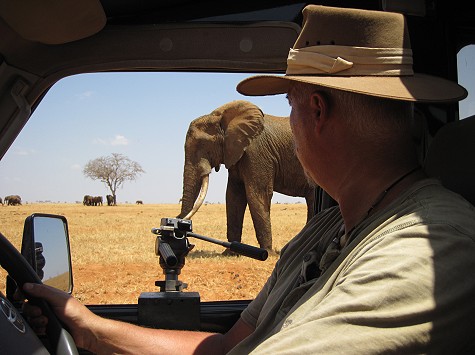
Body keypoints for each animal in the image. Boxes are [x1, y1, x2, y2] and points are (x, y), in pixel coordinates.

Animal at [177, 98, 318, 252]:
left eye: (202, 145)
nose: (188, 244)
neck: (220, 118)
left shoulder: (256, 153)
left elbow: (257, 195)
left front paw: (267, 252)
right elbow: (233, 196)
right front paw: (229, 252)